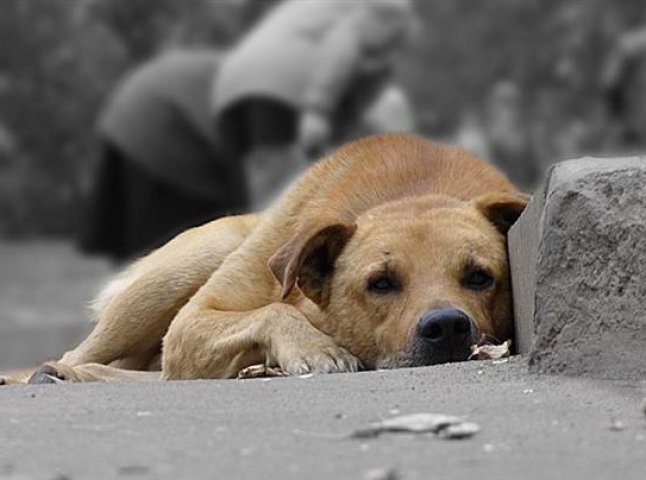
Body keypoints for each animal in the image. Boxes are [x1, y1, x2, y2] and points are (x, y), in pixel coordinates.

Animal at [0, 132, 528, 386]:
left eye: (480, 277)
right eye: (380, 283)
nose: (447, 327)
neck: (414, 191)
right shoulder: (193, 321)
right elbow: (273, 309)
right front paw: (315, 348)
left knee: (153, 374)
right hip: (184, 270)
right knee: (82, 355)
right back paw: (51, 373)